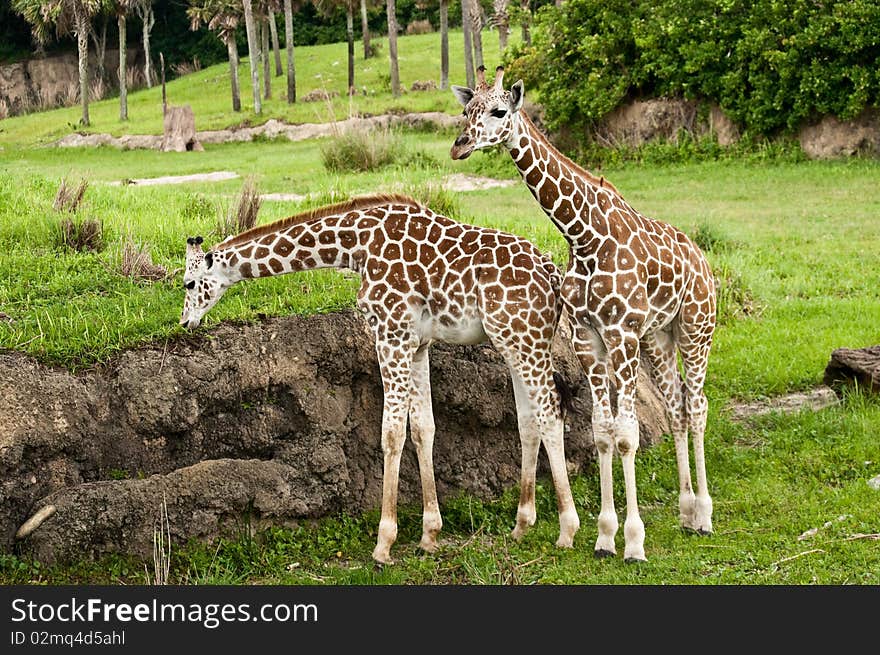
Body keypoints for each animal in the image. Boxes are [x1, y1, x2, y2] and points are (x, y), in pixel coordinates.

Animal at [177, 193, 576, 564]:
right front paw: (430, 535)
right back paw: (521, 526)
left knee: (551, 412)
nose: (184, 322)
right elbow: (423, 428)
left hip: (523, 339)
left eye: (188, 283)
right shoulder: (418, 343)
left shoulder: (390, 332)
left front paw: (384, 544)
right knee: (529, 420)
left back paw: (567, 531)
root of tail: (553, 274)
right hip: (515, 341)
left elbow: (392, 433)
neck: (356, 246)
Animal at [450, 66, 720, 560]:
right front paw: (605, 536)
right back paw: (687, 512)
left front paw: (633, 542)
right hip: (660, 336)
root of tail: (702, 259)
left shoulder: (621, 332)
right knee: (676, 408)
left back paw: (707, 515)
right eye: (466, 111)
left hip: (696, 327)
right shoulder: (588, 336)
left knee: (698, 406)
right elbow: (601, 431)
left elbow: (628, 433)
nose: (460, 145)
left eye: (499, 111)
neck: (583, 235)